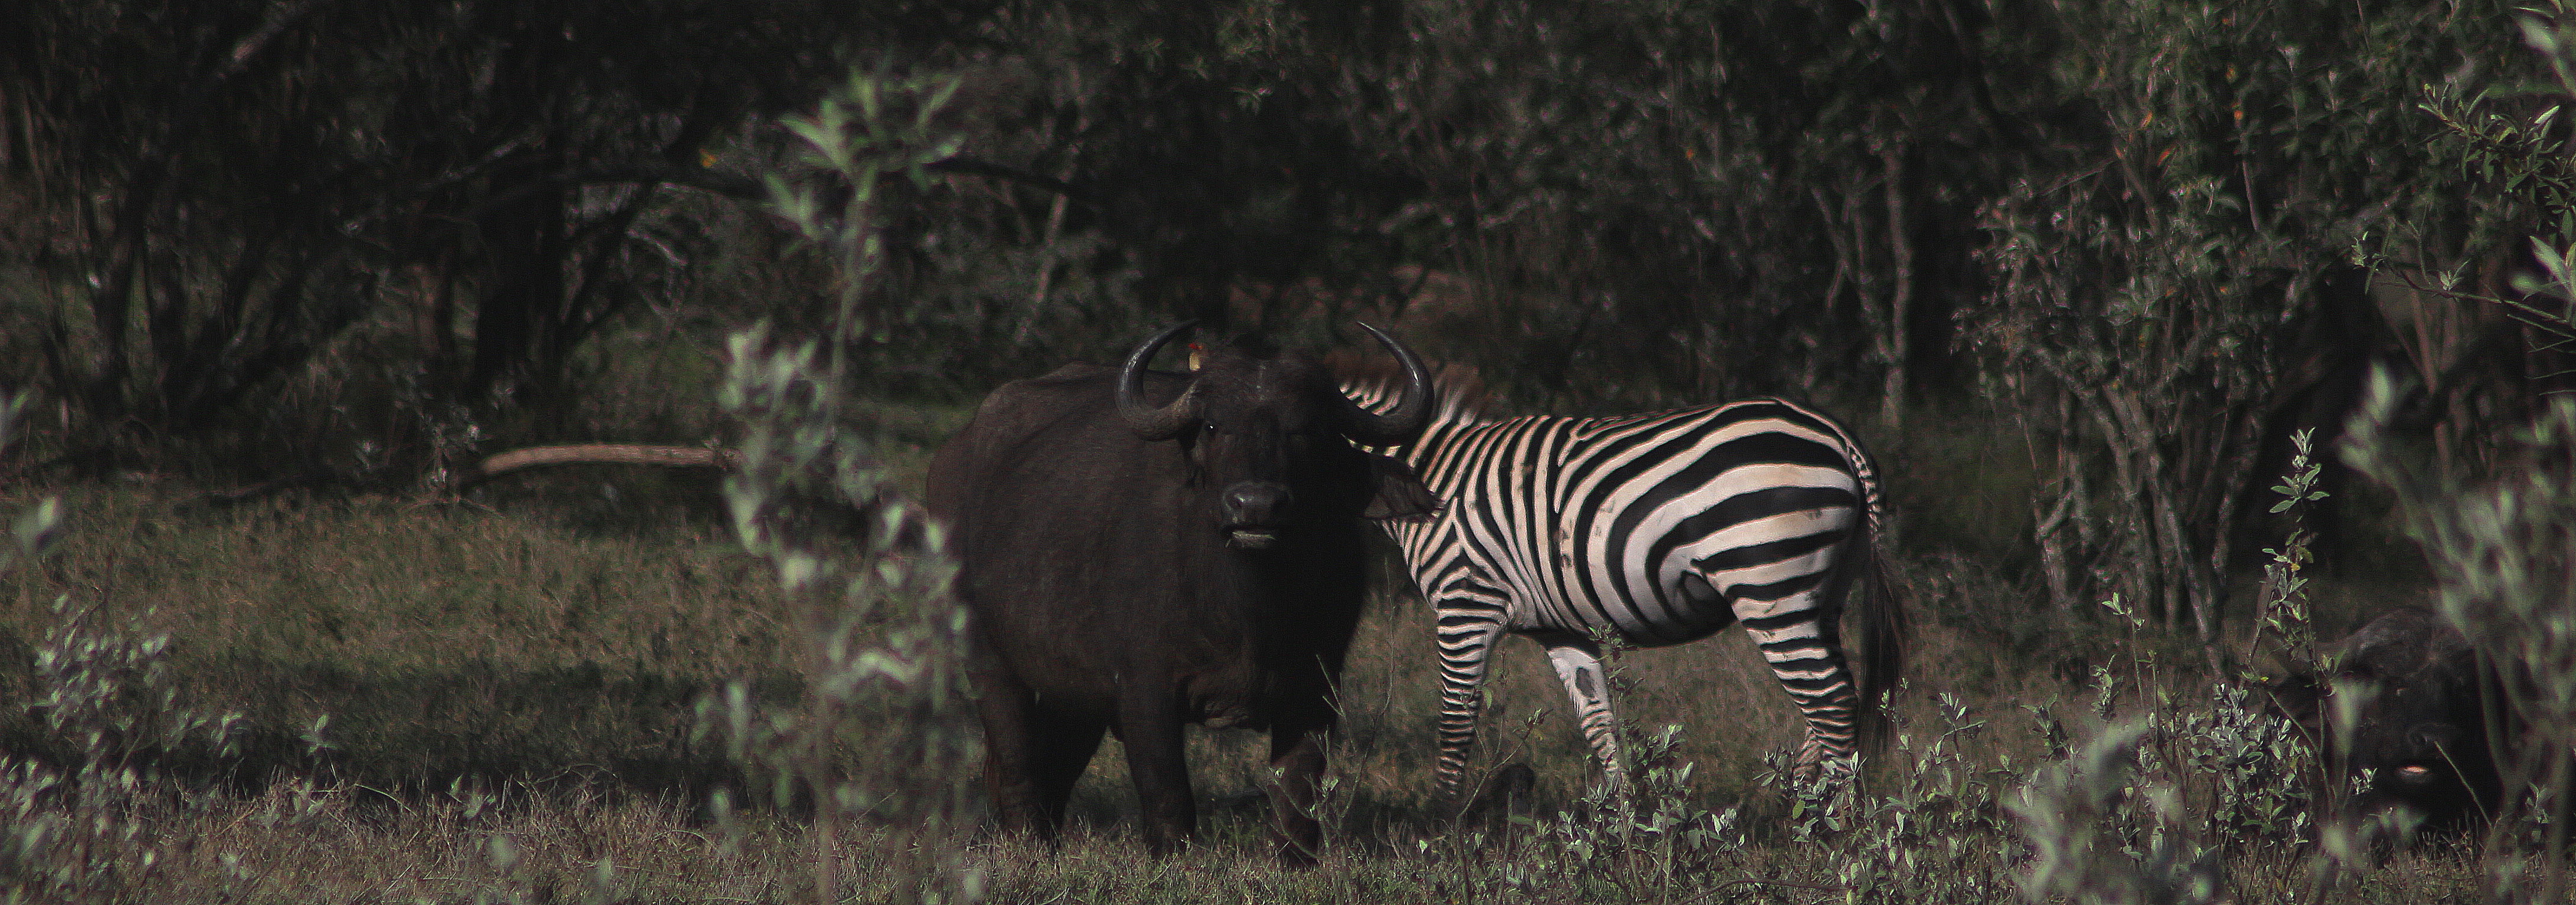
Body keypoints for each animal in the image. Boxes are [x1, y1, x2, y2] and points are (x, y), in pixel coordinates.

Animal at [927, 326, 1442, 866]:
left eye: (1308, 428)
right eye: (1214, 426)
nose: (1255, 505)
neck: (1249, 613)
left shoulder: (1316, 689)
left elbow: (1297, 796)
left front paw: (1292, 862)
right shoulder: (1144, 691)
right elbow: (1168, 794)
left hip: (1074, 695)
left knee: (1055, 772)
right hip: (988, 662)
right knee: (1017, 765)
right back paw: (1027, 847)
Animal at [1360, 366, 1906, 799]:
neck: (1429, 475)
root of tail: (1838, 436)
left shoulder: (1465, 603)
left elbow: (1455, 720)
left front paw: (1445, 827)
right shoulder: (1559, 627)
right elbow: (1599, 721)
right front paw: (1625, 830)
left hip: (1767, 585)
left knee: (1831, 703)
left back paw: (1837, 832)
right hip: (1824, 590)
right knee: (1839, 700)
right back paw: (1803, 803)